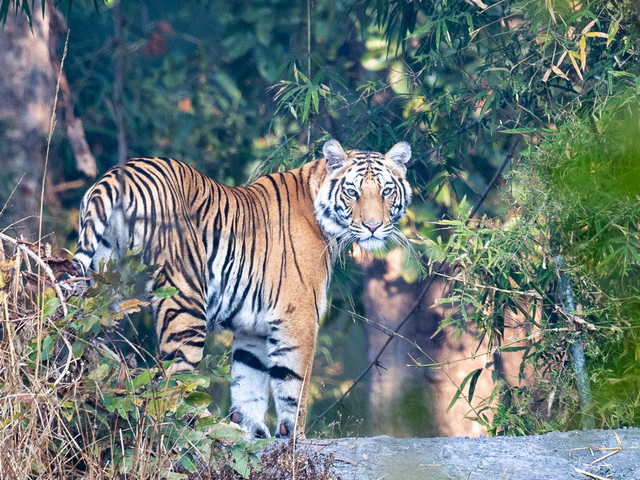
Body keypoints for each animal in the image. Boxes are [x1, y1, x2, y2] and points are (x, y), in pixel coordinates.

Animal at [73, 139, 412, 439]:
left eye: (386, 191)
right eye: (352, 192)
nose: (372, 227)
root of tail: (121, 172)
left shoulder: (253, 329)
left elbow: (249, 384)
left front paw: (251, 433)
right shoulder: (298, 317)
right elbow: (294, 386)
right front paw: (295, 438)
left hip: (105, 287)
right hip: (185, 299)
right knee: (173, 384)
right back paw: (197, 430)